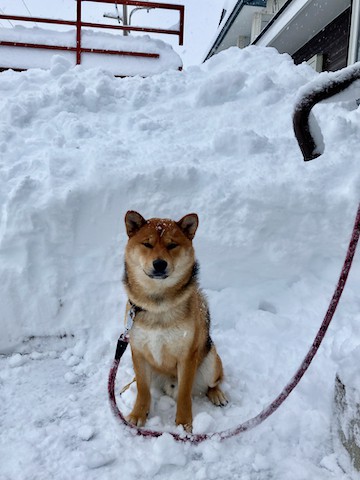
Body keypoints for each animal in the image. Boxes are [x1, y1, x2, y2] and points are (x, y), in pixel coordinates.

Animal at [122, 210, 226, 432]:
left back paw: (217, 394)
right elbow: (142, 389)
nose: (160, 263)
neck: (157, 305)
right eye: (147, 244)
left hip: (211, 361)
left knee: (214, 382)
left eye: (172, 245)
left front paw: (183, 423)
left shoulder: (187, 356)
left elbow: (184, 394)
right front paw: (138, 414)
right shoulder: (138, 351)